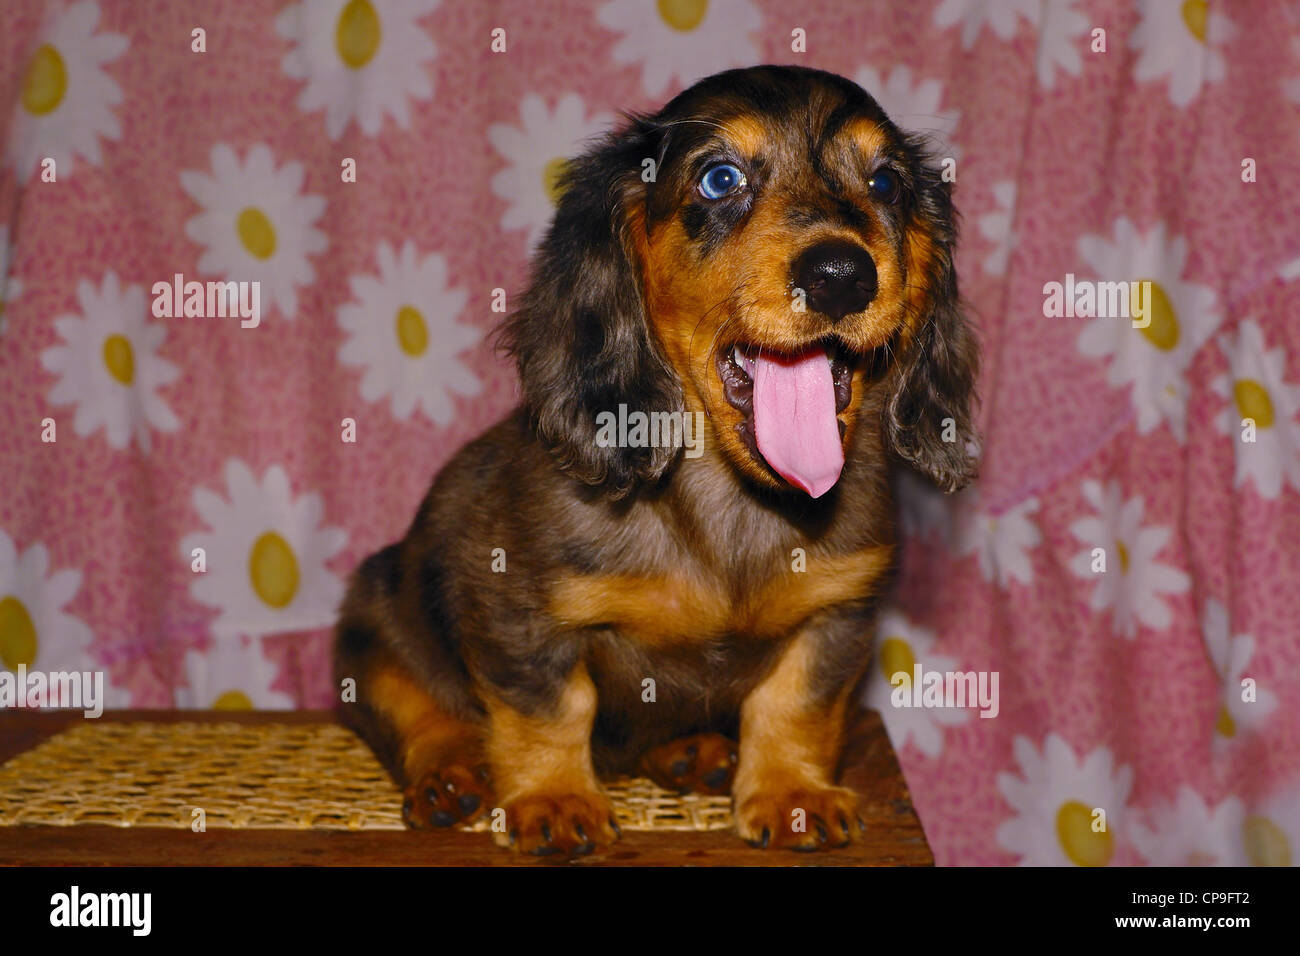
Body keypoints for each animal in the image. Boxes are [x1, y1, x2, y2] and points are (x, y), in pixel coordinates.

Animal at [335, 67, 977, 858]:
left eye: (886, 183)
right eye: (720, 178)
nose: (840, 274)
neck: (732, 503)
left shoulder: (839, 609)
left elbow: (795, 704)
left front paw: (791, 793)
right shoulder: (517, 612)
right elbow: (552, 708)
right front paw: (554, 798)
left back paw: (688, 751)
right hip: (372, 622)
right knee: (416, 710)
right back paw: (449, 772)